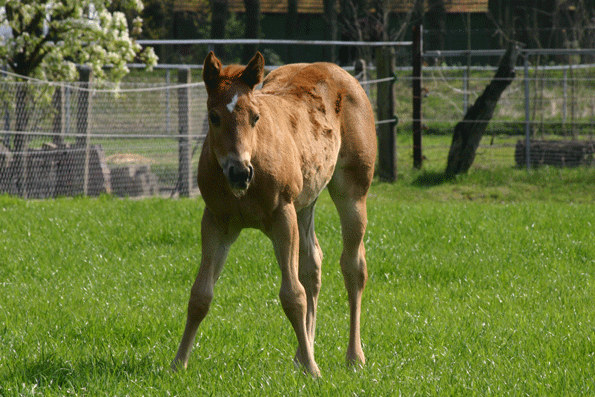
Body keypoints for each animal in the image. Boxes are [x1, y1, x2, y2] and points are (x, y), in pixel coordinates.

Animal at [172, 51, 378, 374]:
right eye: (213, 117)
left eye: (255, 117)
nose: (240, 172)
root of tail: (342, 74)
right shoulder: (216, 221)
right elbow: (200, 295)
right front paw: (178, 362)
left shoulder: (283, 216)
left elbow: (293, 296)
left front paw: (313, 370)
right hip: (306, 202)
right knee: (312, 264)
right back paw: (301, 355)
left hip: (352, 193)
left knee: (353, 266)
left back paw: (354, 357)